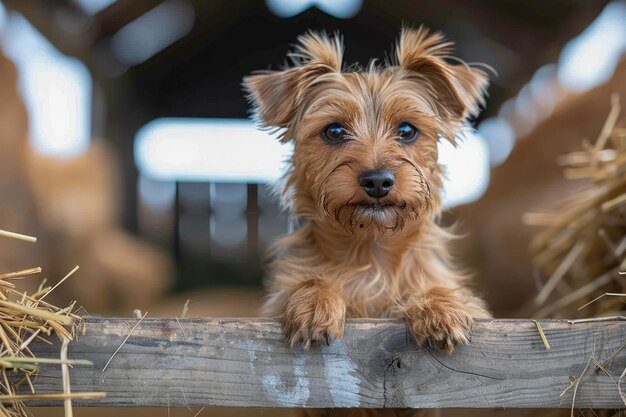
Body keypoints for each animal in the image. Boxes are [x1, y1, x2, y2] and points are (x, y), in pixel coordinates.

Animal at [241, 26, 490, 352]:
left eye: (407, 130)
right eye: (334, 131)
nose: (377, 180)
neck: (371, 252)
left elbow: (432, 286)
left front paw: (440, 306)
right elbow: (310, 280)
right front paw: (315, 302)